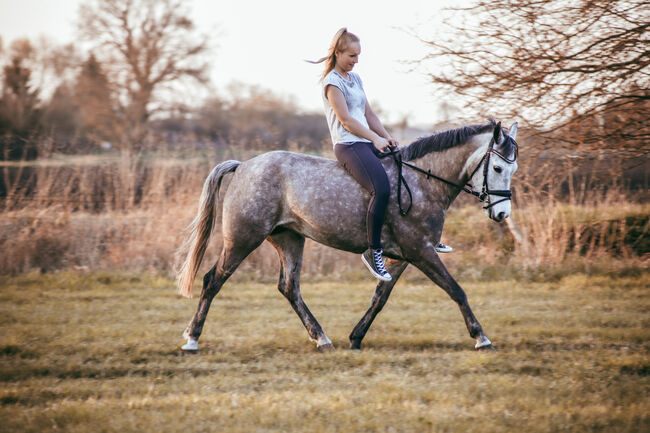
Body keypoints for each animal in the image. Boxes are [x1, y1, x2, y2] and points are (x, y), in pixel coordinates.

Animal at [176, 118, 516, 352]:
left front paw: (356, 337)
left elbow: (380, 297)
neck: (423, 182)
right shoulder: (420, 251)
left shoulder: (404, 256)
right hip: (243, 238)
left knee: (289, 288)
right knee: (213, 280)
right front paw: (481, 337)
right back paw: (192, 339)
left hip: (289, 239)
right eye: (498, 168)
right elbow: (456, 290)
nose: (501, 215)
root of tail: (244, 165)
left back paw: (322, 339)